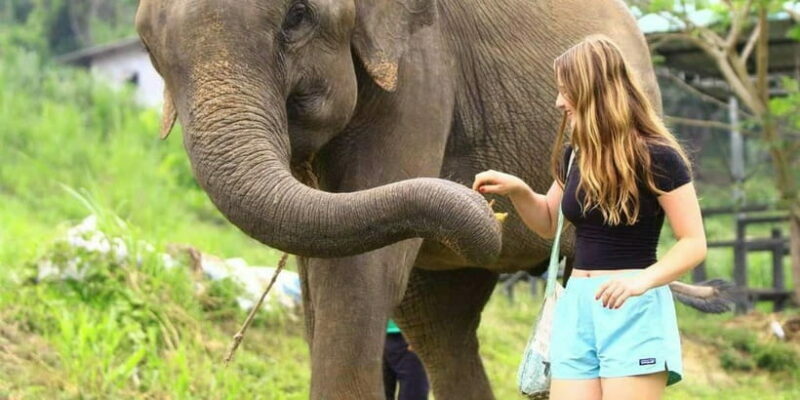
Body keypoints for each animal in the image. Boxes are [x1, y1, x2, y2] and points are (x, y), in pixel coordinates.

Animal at [135, 0, 732, 398]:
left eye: (298, 16)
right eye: (146, 44)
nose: (484, 203)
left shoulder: (422, 70)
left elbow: (358, 275)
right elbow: (325, 274)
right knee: (439, 325)